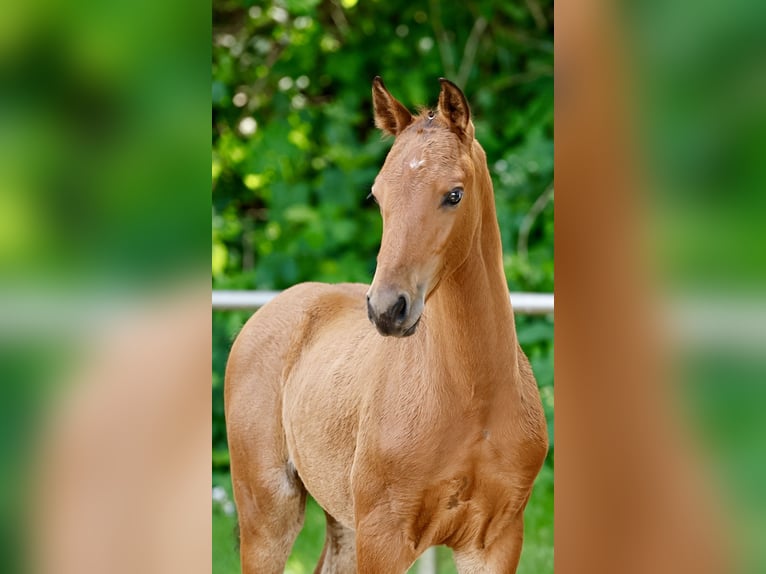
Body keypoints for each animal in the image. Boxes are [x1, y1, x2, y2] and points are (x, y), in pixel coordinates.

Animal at [225, 77, 548, 573]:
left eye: (454, 194)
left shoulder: (495, 540)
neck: (474, 398)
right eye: (377, 195)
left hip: (340, 519)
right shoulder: (384, 537)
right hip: (269, 512)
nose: (387, 309)